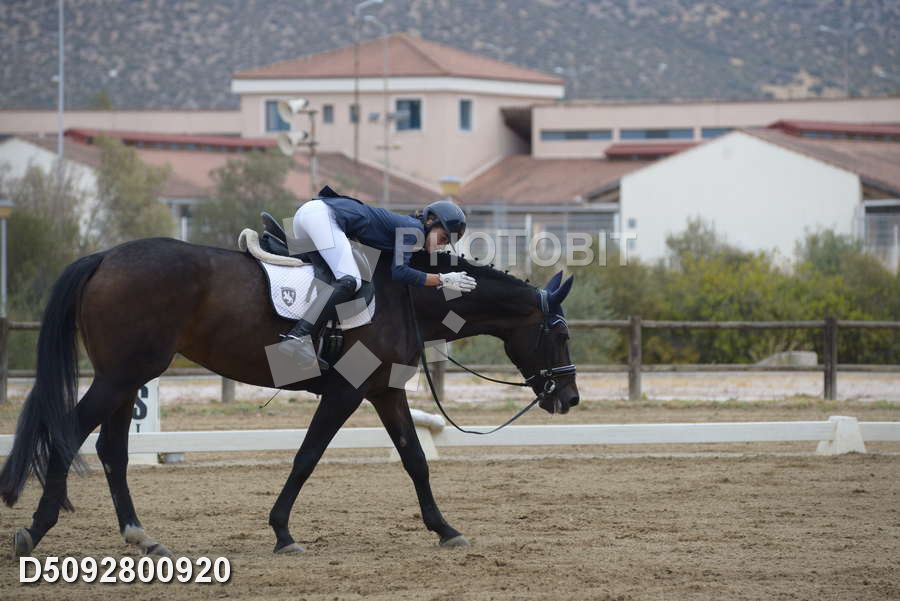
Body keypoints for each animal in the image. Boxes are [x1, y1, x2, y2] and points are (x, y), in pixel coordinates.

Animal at [0, 236, 579, 556]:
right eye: (561, 332)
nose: (569, 398)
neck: (406, 295)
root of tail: (104, 258)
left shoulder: (384, 391)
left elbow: (415, 460)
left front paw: (445, 529)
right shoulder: (346, 393)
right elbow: (306, 457)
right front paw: (282, 533)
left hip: (126, 379)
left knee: (110, 451)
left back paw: (141, 537)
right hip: (122, 377)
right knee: (71, 435)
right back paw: (36, 529)